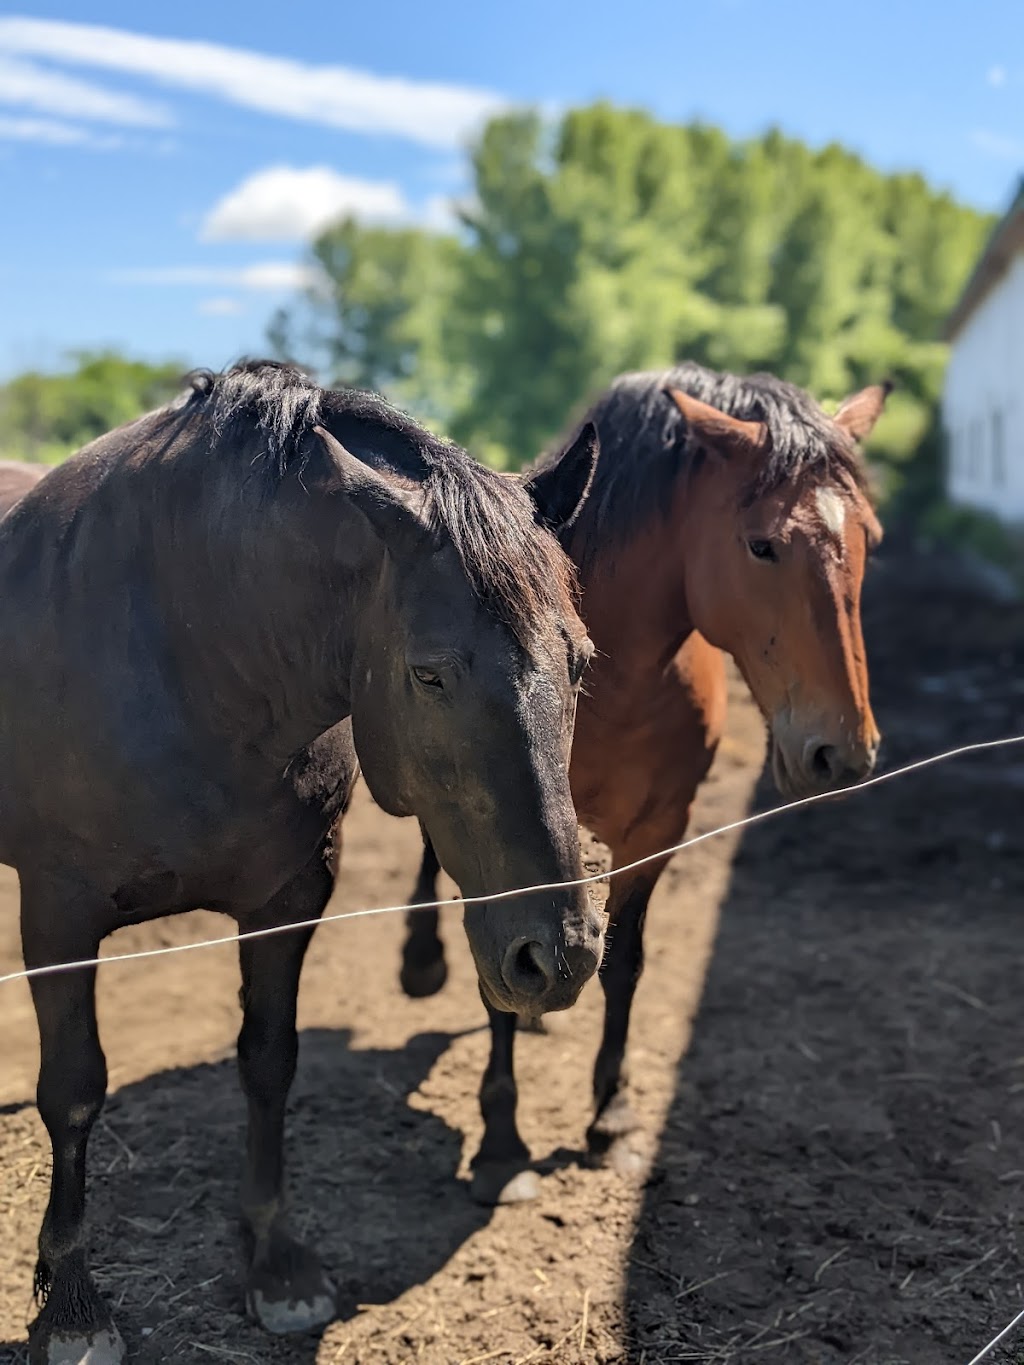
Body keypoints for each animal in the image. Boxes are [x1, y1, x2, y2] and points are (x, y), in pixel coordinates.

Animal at [0, 360, 606, 1365]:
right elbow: (75, 1090)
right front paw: (72, 1302)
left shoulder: (289, 897)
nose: (557, 956)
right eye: (430, 673)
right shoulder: (59, 911)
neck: (186, 648)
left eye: (581, 660)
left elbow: (269, 1061)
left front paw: (277, 1262)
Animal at [395, 365, 884, 1206]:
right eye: (762, 545)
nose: (842, 753)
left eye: (868, 542)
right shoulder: (497, 822)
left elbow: (623, 962)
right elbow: (495, 973)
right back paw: (422, 957)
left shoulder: (658, 828)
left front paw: (612, 1118)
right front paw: (501, 1142)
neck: (609, 676)